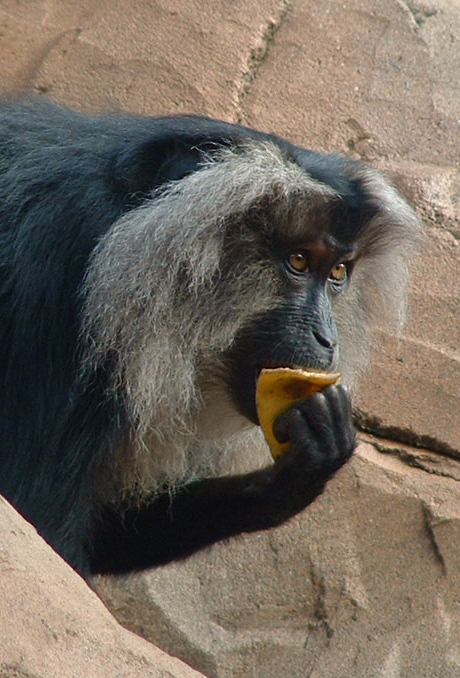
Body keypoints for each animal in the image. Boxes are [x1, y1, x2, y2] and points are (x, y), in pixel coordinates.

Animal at [0, 97, 422, 578]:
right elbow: (41, 529)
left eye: (337, 272)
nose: (327, 338)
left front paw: (301, 469)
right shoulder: (57, 262)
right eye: (298, 260)